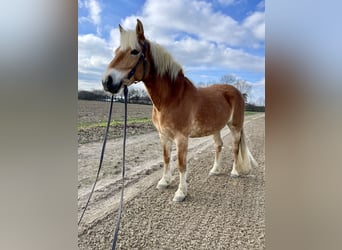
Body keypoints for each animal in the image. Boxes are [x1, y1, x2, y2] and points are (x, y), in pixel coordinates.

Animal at [101, 20, 256, 203]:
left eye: (134, 51)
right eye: (116, 51)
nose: (107, 81)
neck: (171, 98)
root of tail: (237, 92)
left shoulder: (181, 138)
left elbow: (182, 164)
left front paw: (181, 192)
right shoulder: (163, 136)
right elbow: (167, 159)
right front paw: (164, 182)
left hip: (235, 127)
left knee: (235, 148)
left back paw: (234, 172)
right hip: (216, 128)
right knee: (218, 146)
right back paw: (215, 170)